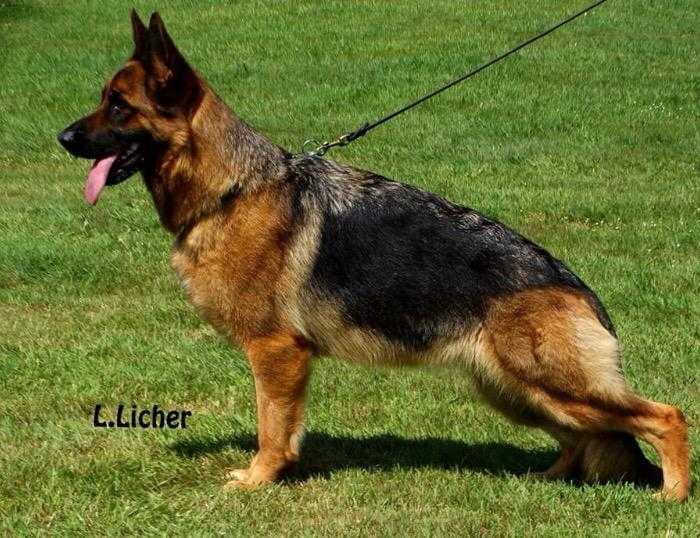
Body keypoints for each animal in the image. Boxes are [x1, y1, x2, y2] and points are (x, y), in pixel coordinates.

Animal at [57, 10, 690, 501]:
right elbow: (281, 426)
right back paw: (548, 479)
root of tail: (579, 288)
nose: (62, 138)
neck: (232, 189)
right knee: (585, 438)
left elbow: (271, 426)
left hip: (551, 385)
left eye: (119, 107)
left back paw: (672, 496)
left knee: (665, 416)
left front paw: (259, 480)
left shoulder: (276, 352)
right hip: (514, 389)